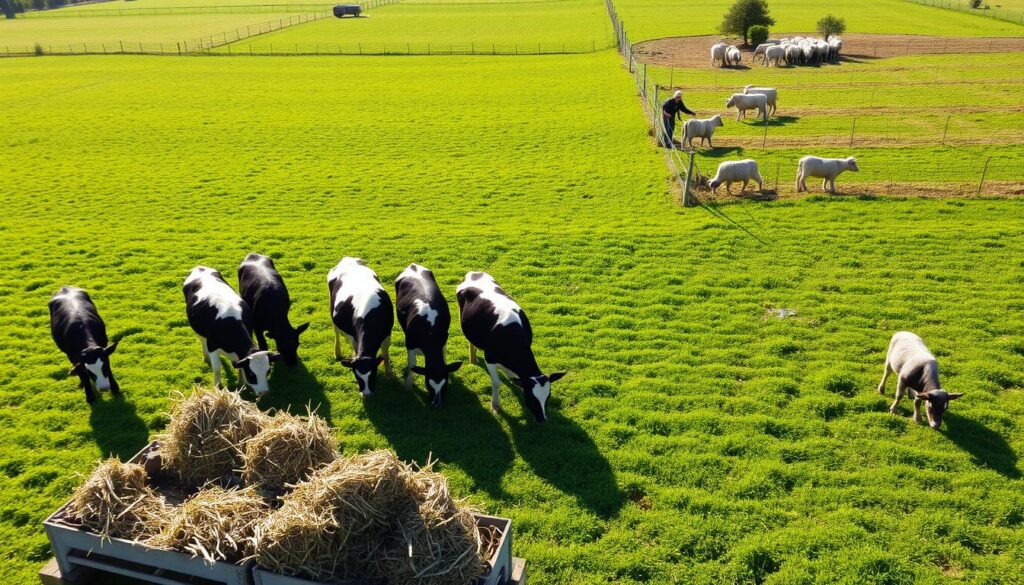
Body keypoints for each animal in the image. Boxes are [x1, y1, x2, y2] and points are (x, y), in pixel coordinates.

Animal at [183, 266, 280, 395]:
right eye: (251, 374)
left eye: (268, 371)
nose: (264, 392)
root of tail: (200, 267)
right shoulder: (212, 346)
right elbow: (217, 368)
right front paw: (218, 387)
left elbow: (240, 367)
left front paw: (242, 385)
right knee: (202, 340)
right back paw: (206, 356)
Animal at [327, 257, 395, 397]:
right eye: (356, 375)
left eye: (373, 374)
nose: (366, 394)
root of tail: (347, 258)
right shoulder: (354, 337)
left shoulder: (387, 333)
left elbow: (385, 354)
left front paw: (389, 373)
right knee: (336, 331)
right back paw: (337, 352)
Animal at [393, 264, 462, 407]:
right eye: (428, 385)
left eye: (445, 386)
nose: (437, 404)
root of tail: (413, 265)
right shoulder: (410, 343)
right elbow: (411, 365)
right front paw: (408, 386)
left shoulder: (444, 339)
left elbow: (444, 356)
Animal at [458, 272, 565, 424]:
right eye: (531, 398)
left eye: (548, 397)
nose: (543, 419)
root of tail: (474, 273)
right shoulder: (489, 358)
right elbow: (496, 382)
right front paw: (495, 405)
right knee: (470, 342)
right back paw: (473, 359)